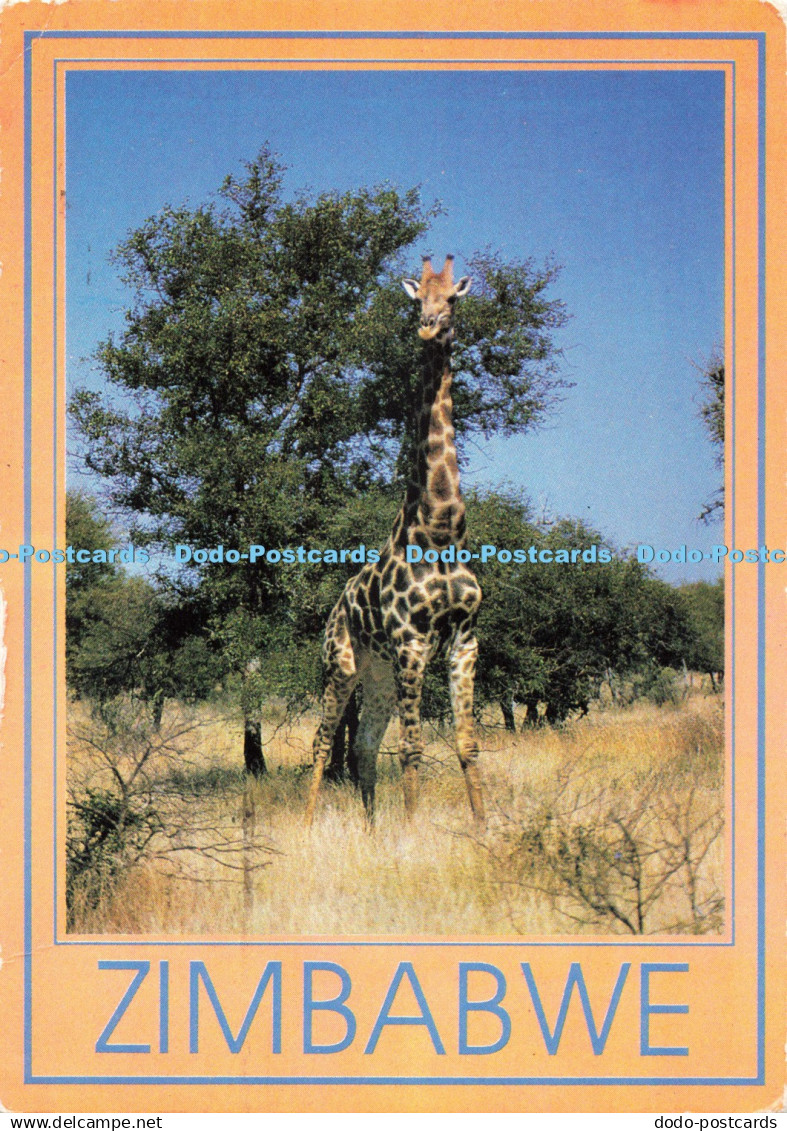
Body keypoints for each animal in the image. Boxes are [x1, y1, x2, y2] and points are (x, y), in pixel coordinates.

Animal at [304, 254, 485, 827]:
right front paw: (411, 832)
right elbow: (412, 747)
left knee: (362, 744)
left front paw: (484, 827)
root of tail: (335, 605)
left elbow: (467, 744)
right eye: (416, 299)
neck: (441, 529)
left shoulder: (464, 639)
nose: (428, 327)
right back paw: (308, 826)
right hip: (342, 664)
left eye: (452, 298)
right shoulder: (412, 640)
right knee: (323, 742)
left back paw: (371, 831)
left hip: (380, 674)